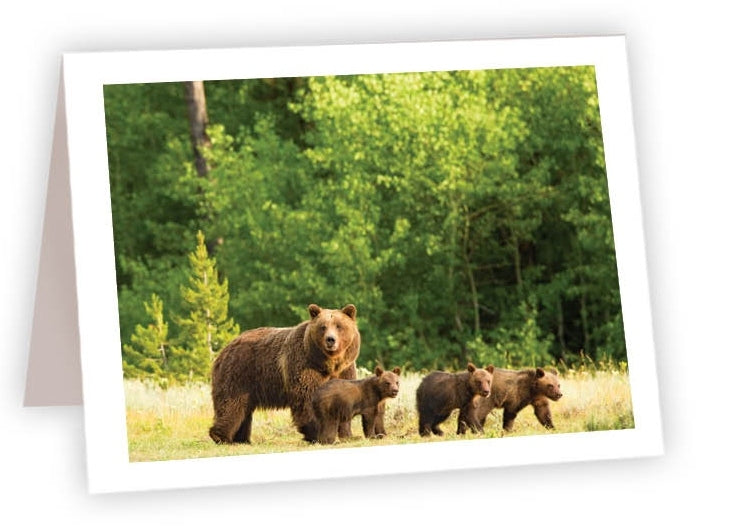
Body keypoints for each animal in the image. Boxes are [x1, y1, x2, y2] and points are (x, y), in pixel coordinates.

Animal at [209, 303, 360, 444]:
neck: (328, 364)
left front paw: (347, 435)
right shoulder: (305, 366)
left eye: (339, 326)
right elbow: (308, 399)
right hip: (238, 373)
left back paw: (241, 439)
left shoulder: (344, 371)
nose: (330, 340)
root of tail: (225, 348)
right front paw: (316, 435)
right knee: (231, 405)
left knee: (243, 410)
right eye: (323, 327)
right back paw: (221, 437)